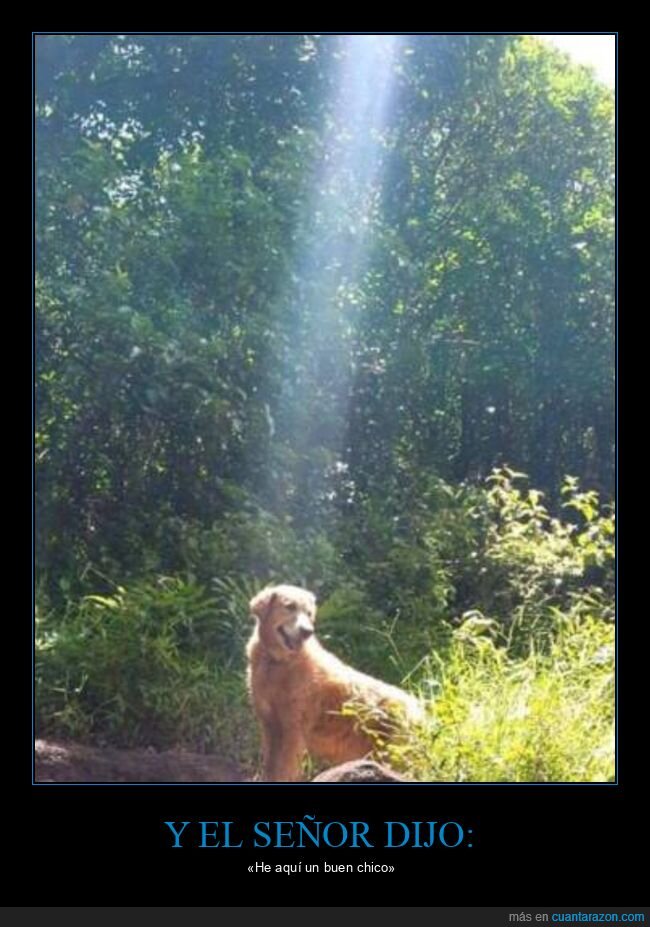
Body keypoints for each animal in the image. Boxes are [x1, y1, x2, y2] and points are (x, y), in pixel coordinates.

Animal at [246, 588, 422, 784]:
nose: (307, 631)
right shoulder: (270, 725)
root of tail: (419, 710)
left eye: (309, 613)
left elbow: (283, 770)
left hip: (393, 754)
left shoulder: (292, 729)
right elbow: (270, 767)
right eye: (289, 606)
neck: (277, 663)